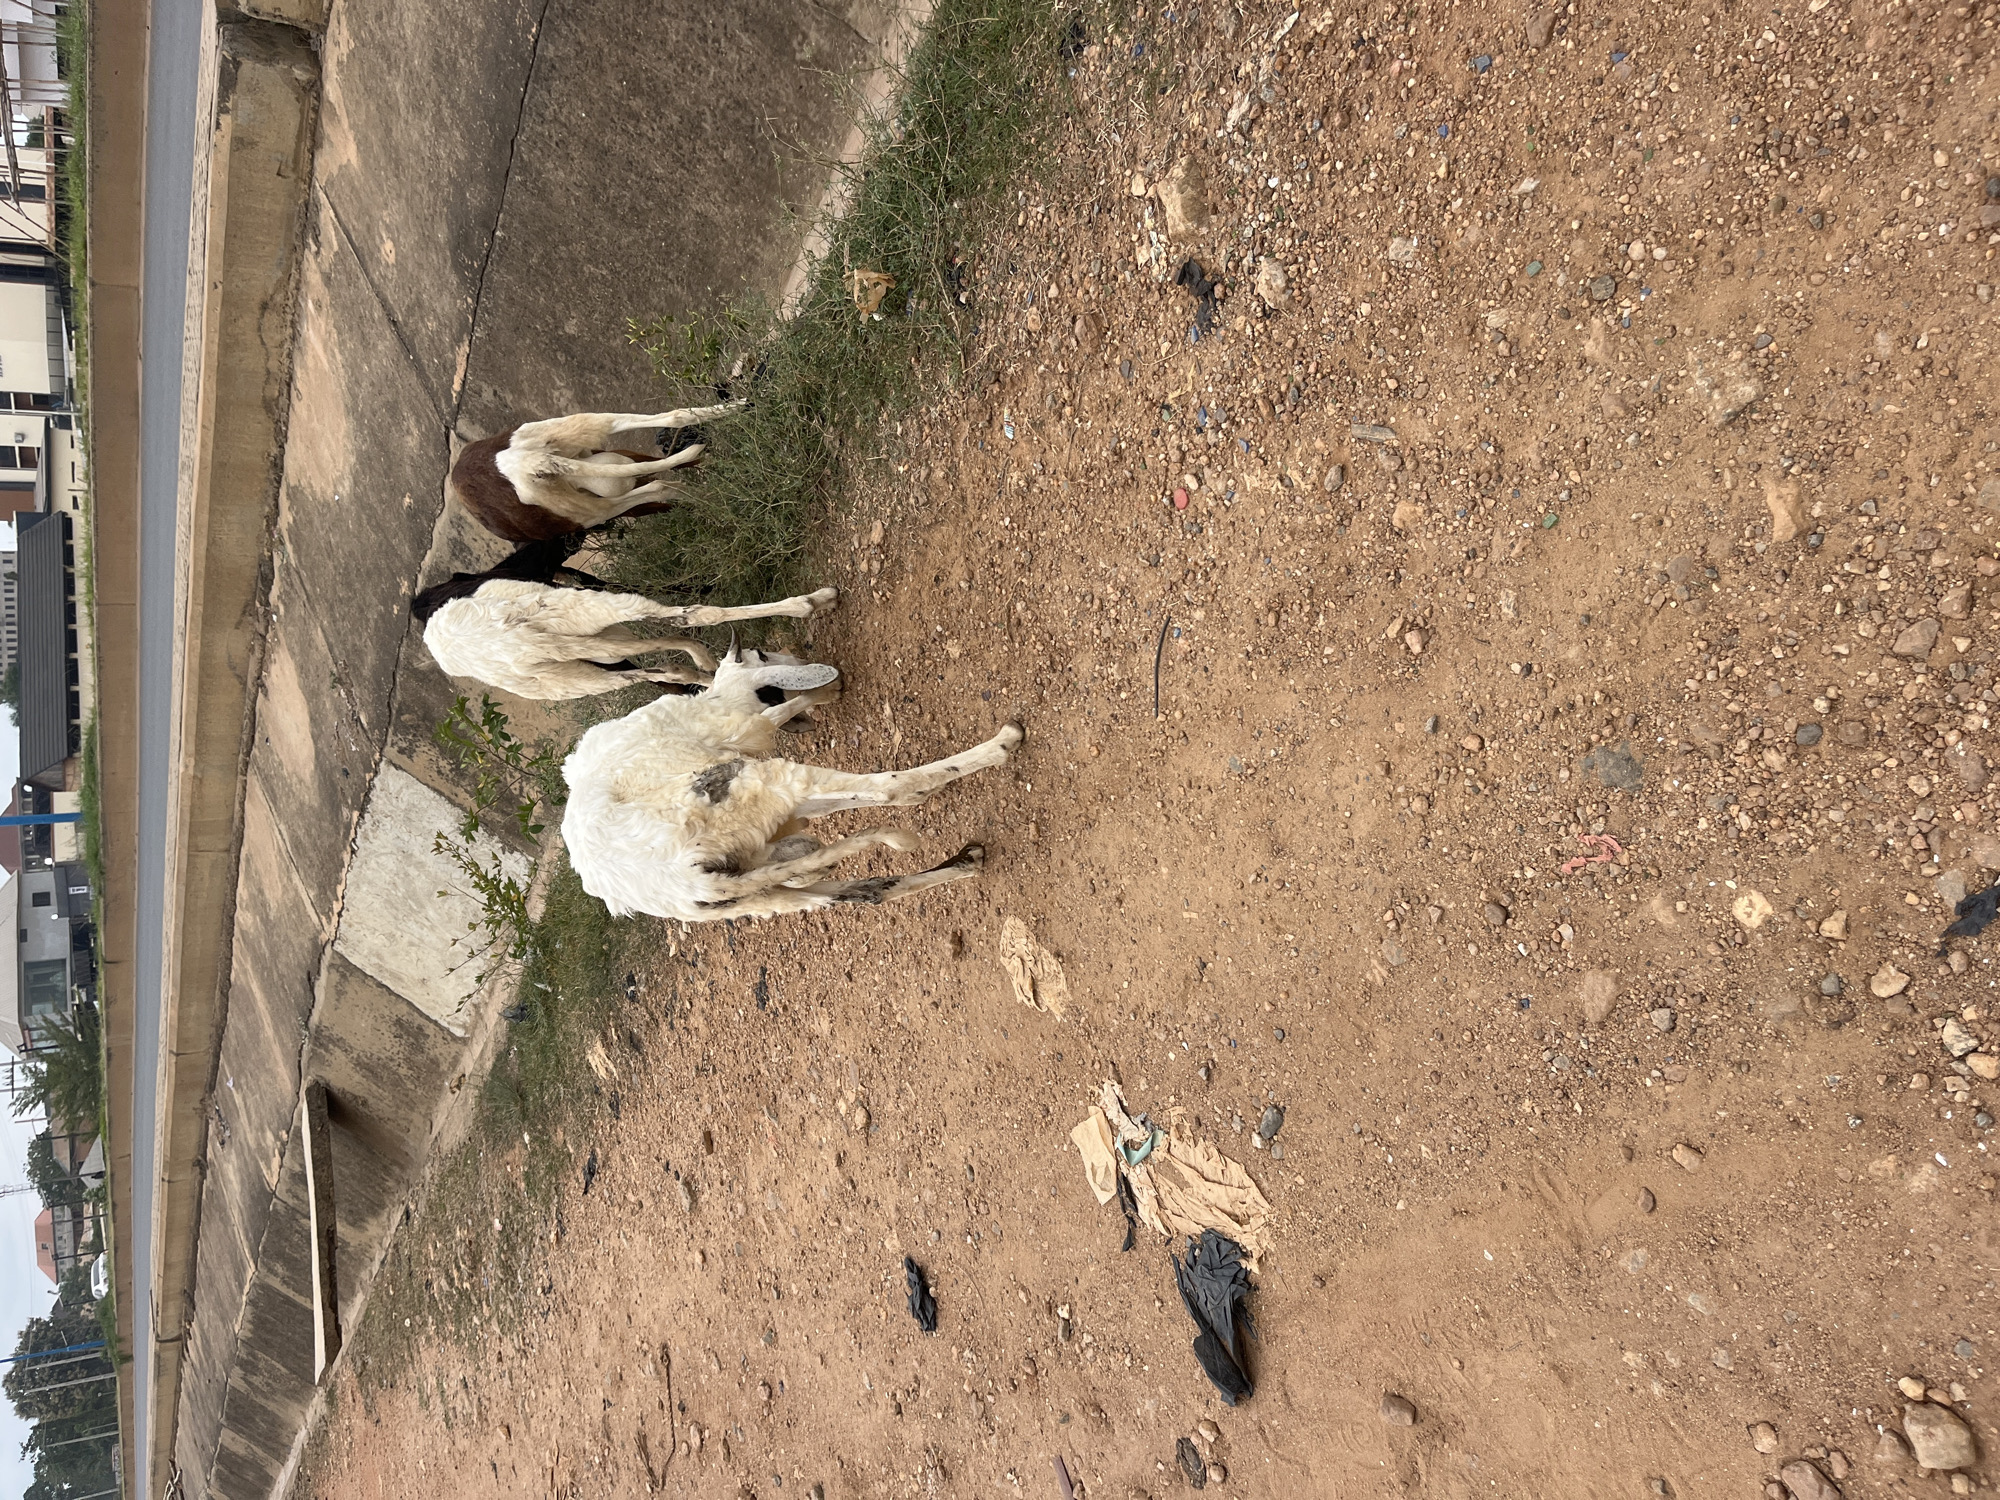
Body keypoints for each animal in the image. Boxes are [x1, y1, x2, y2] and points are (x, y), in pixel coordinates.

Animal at [412, 540, 836, 701]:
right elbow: (687, 619)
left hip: (578, 679)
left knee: (655, 668)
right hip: (590, 614)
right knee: (688, 620)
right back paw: (811, 601)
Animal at [448, 401, 742, 543]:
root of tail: (523, 463)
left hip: (588, 512)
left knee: (658, 488)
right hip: (581, 426)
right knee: (675, 417)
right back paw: (738, 406)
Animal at [561, 647, 1022, 922]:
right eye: (762, 653)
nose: (806, 662)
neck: (710, 701)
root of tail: (689, 883)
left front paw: (824, 694)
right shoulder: (743, 740)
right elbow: (774, 717)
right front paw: (823, 692)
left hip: (757, 896)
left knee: (868, 890)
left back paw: (965, 863)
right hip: (763, 786)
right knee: (891, 789)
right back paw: (1000, 744)